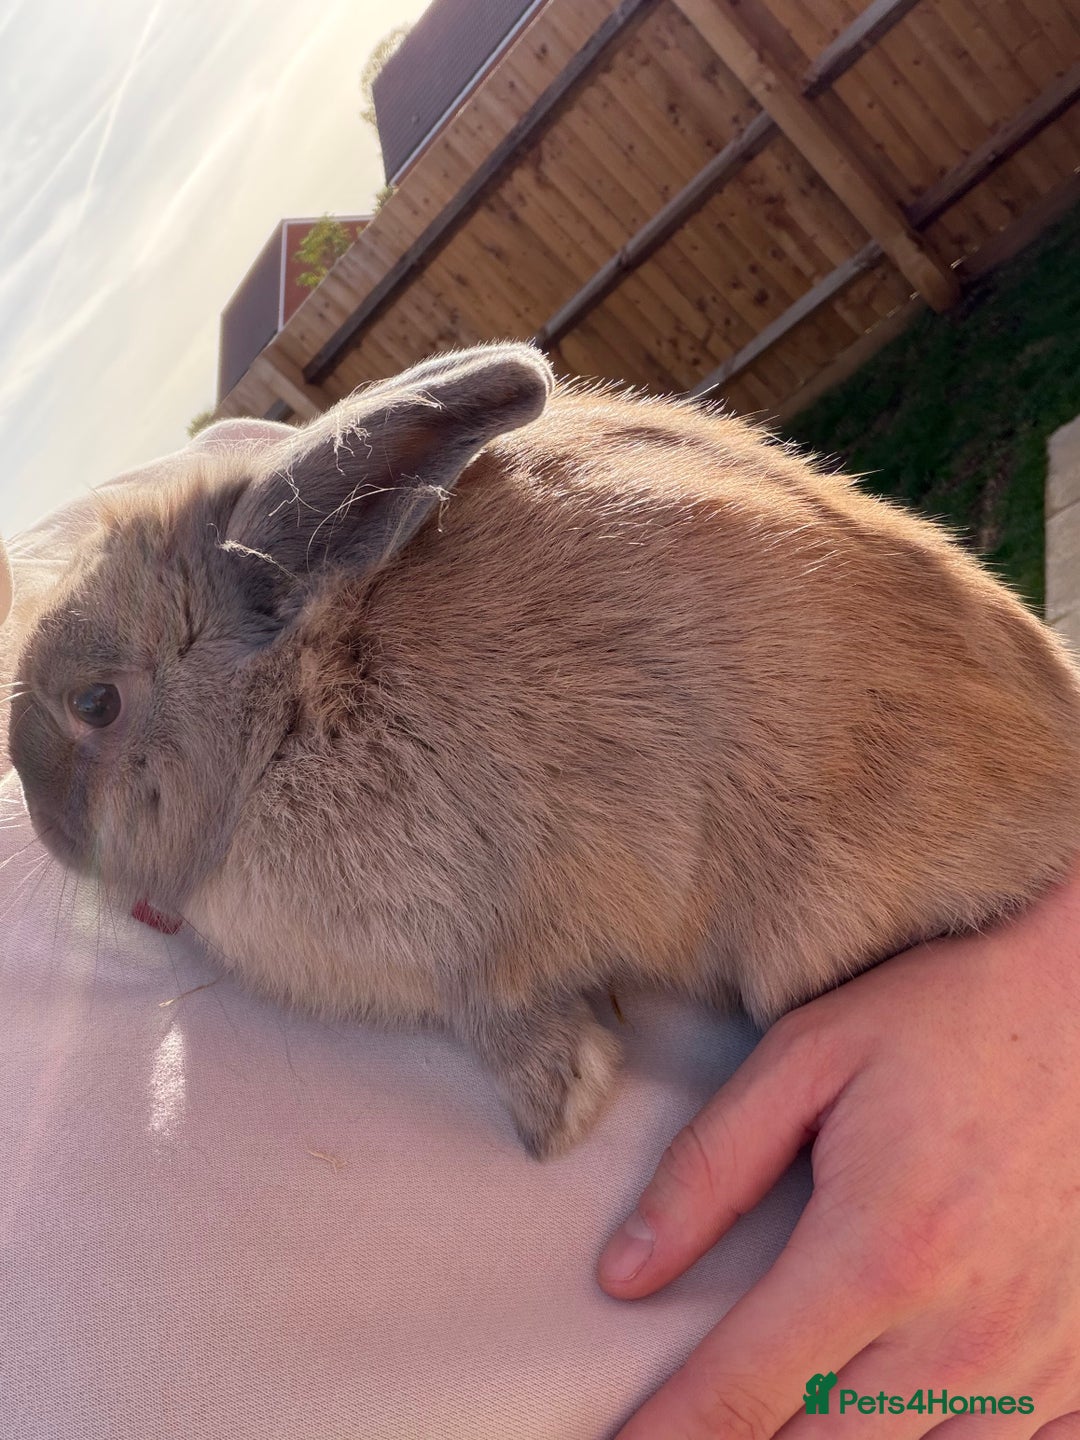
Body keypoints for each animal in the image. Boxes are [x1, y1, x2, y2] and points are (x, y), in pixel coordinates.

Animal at [9, 341, 1080, 1158]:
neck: (298, 715)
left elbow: (506, 1017)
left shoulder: (483, 943)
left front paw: (555, 1117)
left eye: (97, 703)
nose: (46, 826)